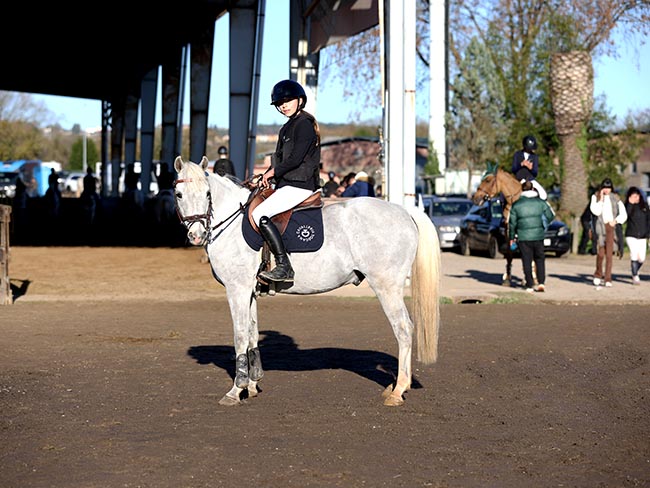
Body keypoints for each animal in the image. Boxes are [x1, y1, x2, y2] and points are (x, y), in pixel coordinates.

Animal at [173, 156, 442, 407]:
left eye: (208, 193)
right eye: (178, 194)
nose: (196, 235)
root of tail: (403, 210)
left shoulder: (236, 289)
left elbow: (239, 336)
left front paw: (235, 391)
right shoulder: (249, 291)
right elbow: (251, 334)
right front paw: (252, 385)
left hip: (387, 286)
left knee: (403, 329)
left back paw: (398, 390)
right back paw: (396, 386)